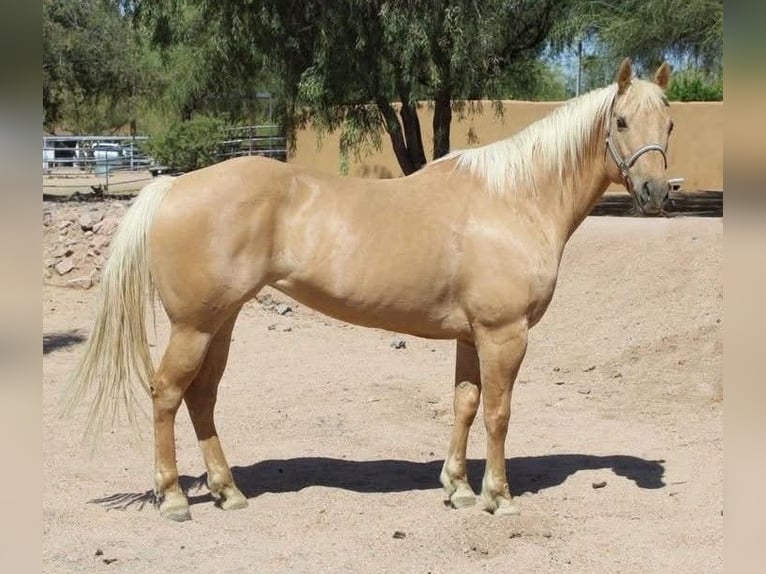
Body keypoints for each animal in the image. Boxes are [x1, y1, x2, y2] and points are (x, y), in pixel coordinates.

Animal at [64, 58, 674, 521]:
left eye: (667, 126)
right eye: (621, 121)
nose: (656, 193)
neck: (513, 199)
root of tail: (173, 185)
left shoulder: (472, 336)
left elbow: (465, 404)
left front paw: (457, 487)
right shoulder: (504, 334)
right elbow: (499, 414)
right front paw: (498, 498)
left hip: (222, 321)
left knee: (202, 396)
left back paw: (227, 491)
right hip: (193, 325)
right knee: (167, 394)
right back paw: (173, 498)